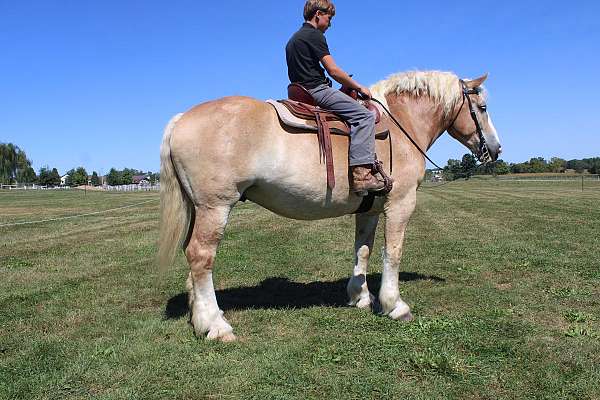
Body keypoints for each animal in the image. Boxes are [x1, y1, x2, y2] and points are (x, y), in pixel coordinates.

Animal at [157, 70, 500, 342]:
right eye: (482, 108)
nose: (495, 149)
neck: (399, 125)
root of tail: (181, 119)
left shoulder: (369, 210)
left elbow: (363, 250)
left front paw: (360, 296)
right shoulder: (401, 203)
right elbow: (393, 253)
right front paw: (394, 304)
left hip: (198, 209)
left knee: (191, 255)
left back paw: (198, 316)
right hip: (215, 208)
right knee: (201, 256)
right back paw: (215, 324)